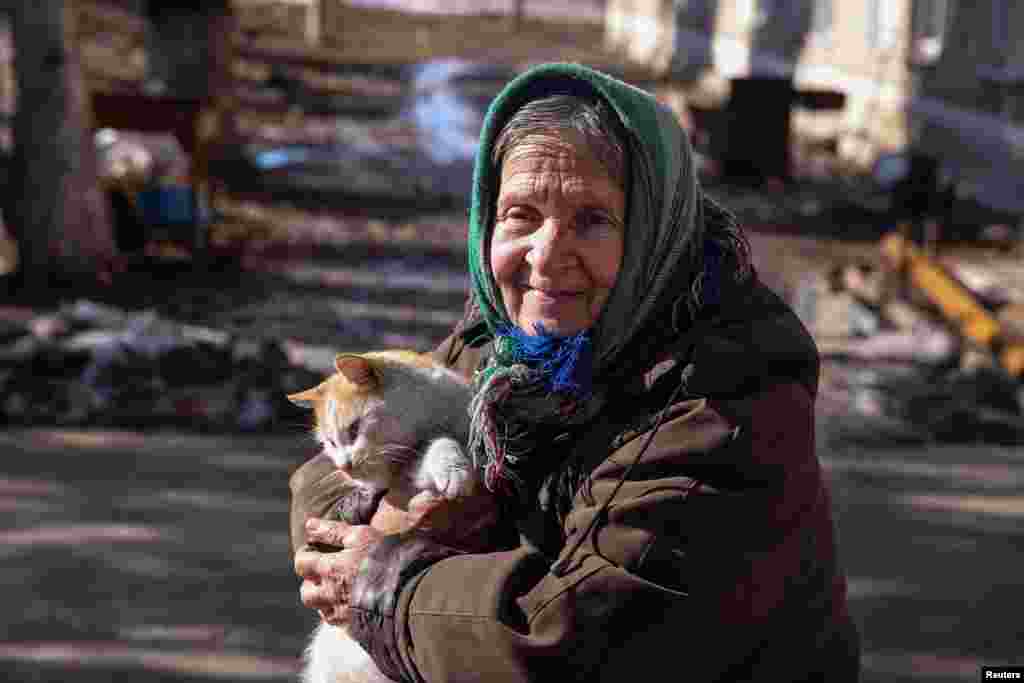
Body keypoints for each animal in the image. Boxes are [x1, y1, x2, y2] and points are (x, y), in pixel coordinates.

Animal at [288, 350, 479, 679]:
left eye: (354, 430)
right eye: (329, 443)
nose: (344, 466)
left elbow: (441, 442)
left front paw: (453, 467)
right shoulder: (403, 474)